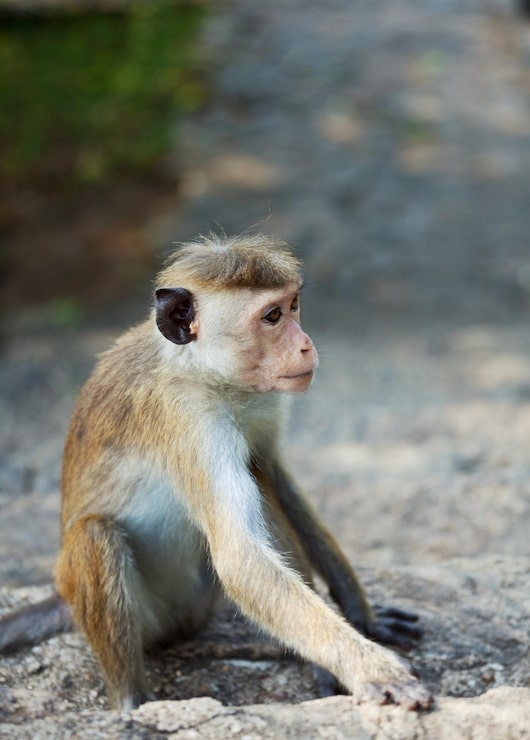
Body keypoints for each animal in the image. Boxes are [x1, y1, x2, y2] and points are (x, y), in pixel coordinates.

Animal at [0, 233, 432, 712]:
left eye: (294, 305)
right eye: (272, 316)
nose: (305, 344)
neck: (203, 371)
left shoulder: (262, 400)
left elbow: (275, 474)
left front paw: (363, 618)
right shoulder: (190, 422)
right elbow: (241, 559)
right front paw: (372, 669)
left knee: (258, 478)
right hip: (150, 614)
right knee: (96, 534)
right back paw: (133, 704)